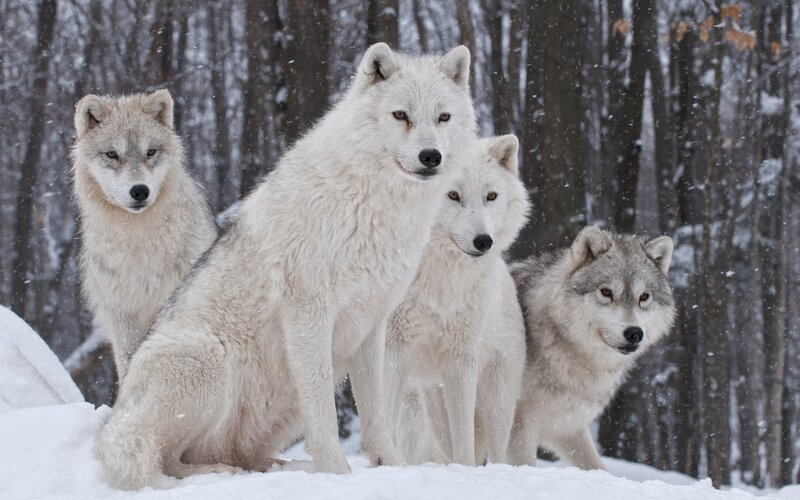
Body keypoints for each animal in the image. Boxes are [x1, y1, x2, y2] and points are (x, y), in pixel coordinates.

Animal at [96, 43, 477, 489]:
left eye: (443, 117)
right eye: (401, 115)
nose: (430, 156)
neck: (372, 204)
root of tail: (117, 414)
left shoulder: (372, 323)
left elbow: (377, 412)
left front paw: (392, 467)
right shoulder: (308, 315)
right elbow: (324, 412)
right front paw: (336, 474)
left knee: (232, 454)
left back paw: (275, 467)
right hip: (208, 359)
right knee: (164, 458)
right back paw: (219, 472)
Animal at [387, 134, 530, 466]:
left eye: (491, 196)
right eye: (452, 195)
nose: (484, 241)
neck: (438, 280)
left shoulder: (462, 360)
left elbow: (464, 440)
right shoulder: (391, 350)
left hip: (495, 401)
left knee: (495, 452)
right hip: (430, 404)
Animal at [507, 226, 675, 470]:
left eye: (644, 297)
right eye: (606, 292)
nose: (634, 333)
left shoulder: (566, 426)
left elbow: (596, 467)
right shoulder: (517, 425)